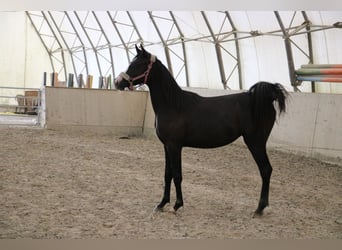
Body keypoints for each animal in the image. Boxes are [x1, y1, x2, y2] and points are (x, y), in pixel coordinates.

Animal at [115, 44, 288, 215]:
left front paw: (177, 204)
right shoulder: (166, 146)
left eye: (139, 64)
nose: (117, 82)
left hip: (255, 143)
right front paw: (162, 203)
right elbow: (167, 174)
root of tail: (264, 98)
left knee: (265, 170)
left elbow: (177, 175)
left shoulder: (174, 146)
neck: (174, 105)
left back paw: (259, 208)